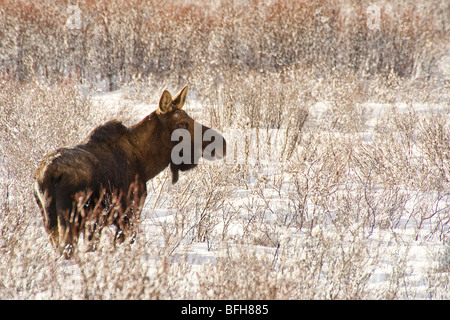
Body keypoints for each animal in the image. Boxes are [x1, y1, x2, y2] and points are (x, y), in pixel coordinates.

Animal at [33, 86, 227, 258]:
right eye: (182, 123)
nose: (222, 143)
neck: (145, 163)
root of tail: (48, 176)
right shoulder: (128, 215)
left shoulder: (98, 224)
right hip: (71, 221)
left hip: (51, 224)